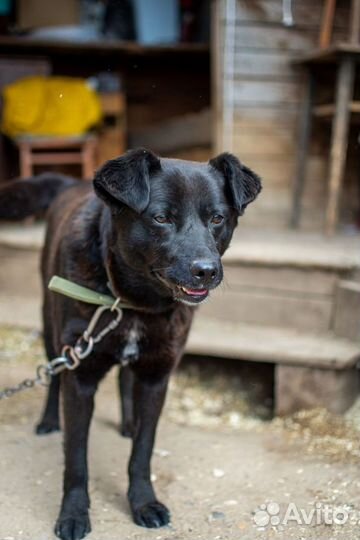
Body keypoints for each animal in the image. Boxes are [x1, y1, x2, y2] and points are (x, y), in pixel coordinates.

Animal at [0, 149, 260, 540]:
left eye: (217, 218)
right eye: (161, 218)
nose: (206, 271)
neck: (133, 302)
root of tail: (73, 182)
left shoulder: (156, 377)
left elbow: (142, 452)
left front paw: (143, 502)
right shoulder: (81, 378)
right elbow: (76, 459)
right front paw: (73, 514)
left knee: (124, 378)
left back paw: (127, 423)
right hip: (50, 329)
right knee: (54, 375)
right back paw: (48, 420)